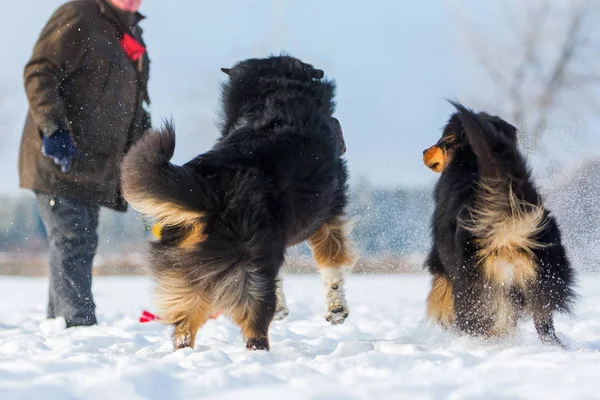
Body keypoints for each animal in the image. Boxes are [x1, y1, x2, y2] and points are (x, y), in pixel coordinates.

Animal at [120, 55, 358, 350]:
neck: (273, 96)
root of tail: (213, 188)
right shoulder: (328, 211)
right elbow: (331, 263)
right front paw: (337, 310)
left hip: (187, 270)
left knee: (184, 327)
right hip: (247, 261)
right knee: (255, 325)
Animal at [422, 101, 576, 346]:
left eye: (441, 141)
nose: (424, 152)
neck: (469, 163)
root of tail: (507, 226)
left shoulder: (440, 261)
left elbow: (440, 295)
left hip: (478, 286)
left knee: (485, 323)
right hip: (543, 279)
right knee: (544, 326)